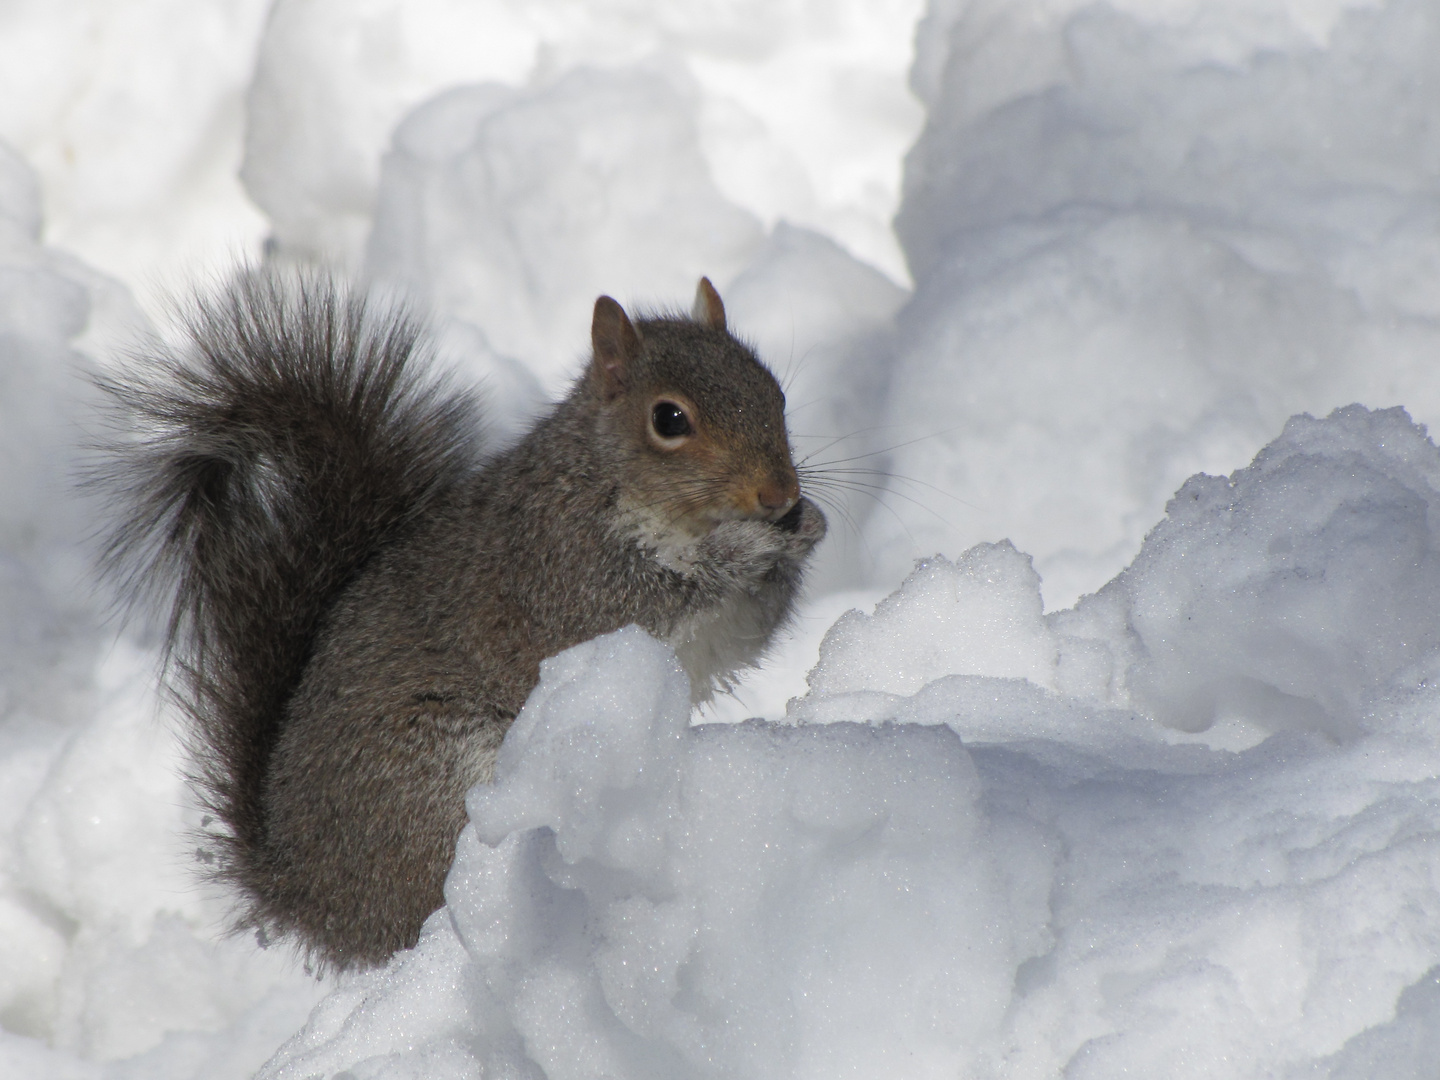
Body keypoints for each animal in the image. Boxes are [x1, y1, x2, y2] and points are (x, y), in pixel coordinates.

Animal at [98, 269, 823, 973]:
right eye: (669, 419)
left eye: (776, 392)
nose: (779, 493)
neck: (606, 481)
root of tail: (308, 898)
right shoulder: (564, 573)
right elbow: (649, 600)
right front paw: (745, 548)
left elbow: (740, 634)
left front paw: (804, 529)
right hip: (434, 774)